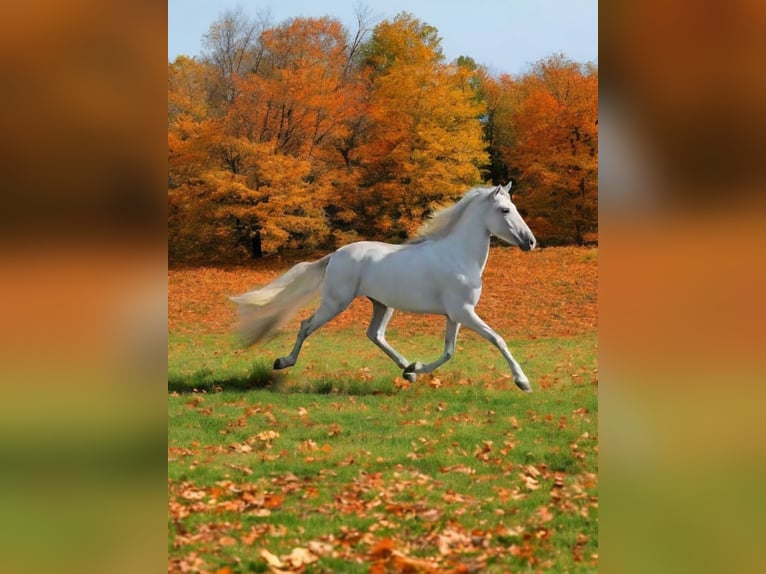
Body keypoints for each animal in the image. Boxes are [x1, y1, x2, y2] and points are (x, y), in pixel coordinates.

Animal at [231, 183, 536, 392]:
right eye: (505, 210)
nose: (530, 241)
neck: (459, 255)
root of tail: (335, 254)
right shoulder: (463, 312)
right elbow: (497, 339)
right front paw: (523, 381)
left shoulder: (457, 314)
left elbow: (449, 351)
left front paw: (417, 368)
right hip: (336, 302)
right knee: (306, 325)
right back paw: (283, 362)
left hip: (381, 304)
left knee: (375, 334)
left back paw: (407, 369)